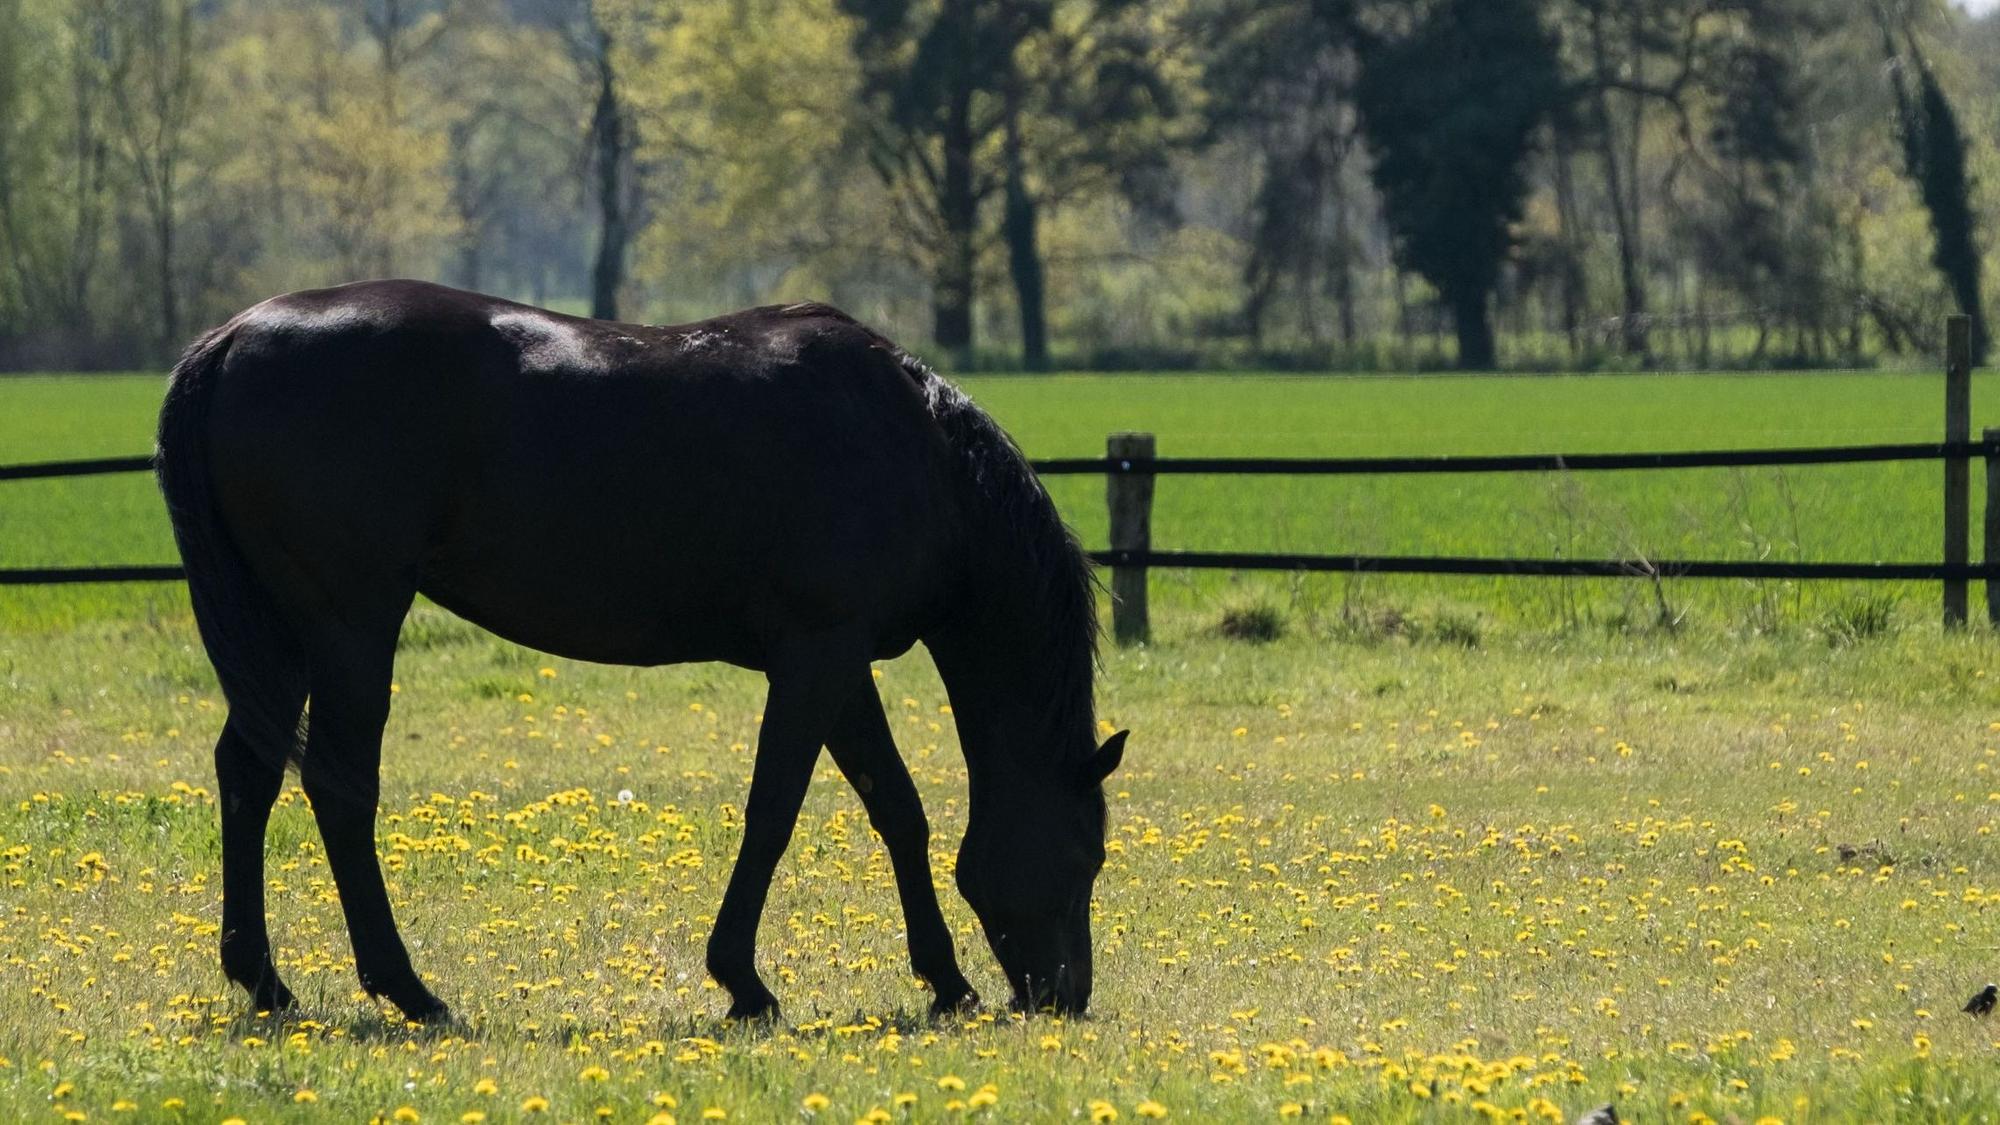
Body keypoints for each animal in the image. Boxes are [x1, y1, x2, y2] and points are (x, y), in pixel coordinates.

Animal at [154, 279, 1126, 1023]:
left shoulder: (839, 665)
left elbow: (899, 809)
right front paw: (744, 980)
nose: (1064, 995)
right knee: (340, 787)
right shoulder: (817, 655)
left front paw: (947, 980)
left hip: (281, 632)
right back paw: (409, 990)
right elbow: (774, 811)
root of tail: (233, 339)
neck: (915, 450)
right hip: (350, 625)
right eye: (1087, 852)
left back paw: (266, 981)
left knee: (249, 772)